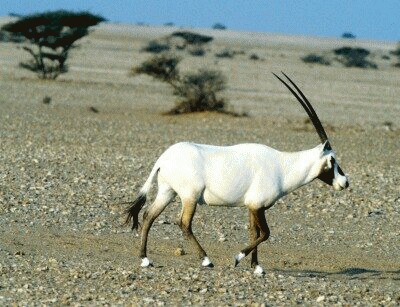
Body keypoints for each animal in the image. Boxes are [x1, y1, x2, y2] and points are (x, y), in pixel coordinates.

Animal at [125, 73, 346, 276]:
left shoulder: (252, 206)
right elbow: (265, 233)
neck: (283, 166)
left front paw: (256, 266)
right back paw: (206, 260)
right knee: (183, 223)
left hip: (167, 192)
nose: (345, 182)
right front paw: (237, 258)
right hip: (190, 196)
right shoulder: (257, 206)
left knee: (148, 215)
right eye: (332, 159)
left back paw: (145, 259)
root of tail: (163, 159)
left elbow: (254, 232)